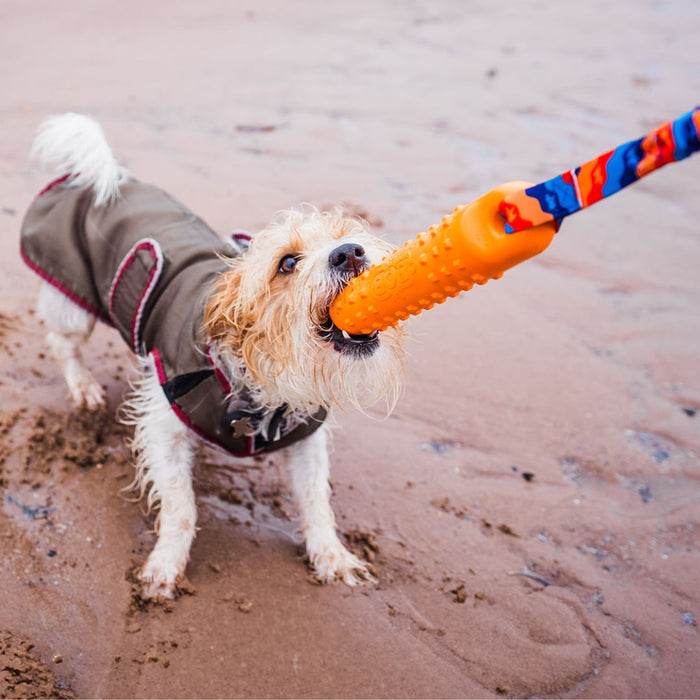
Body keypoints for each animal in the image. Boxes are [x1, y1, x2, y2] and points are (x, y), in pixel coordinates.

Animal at [20, 112, 404, 600]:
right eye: (287, 263)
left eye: (348, 236)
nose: (351, 252)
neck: (267, 383)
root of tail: (92, 175)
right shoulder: (163, 427)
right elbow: (181, 507)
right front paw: (165, 565)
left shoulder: (306, 440)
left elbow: (317, 499)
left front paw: (332, 556)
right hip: (74, 304)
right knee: (61, 343)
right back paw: (84, 387)